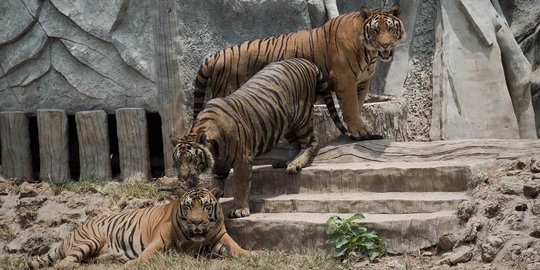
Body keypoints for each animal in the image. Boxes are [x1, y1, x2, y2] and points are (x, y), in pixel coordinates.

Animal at [28, 187, 251, 268]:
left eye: (205, 206)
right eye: (188, 206)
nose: (196, 222)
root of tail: (70, 234)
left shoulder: (220, 237)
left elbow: (237, 248)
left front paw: (254, 254)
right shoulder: (160, 239)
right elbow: (147, 254)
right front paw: (133, 264)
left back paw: (115, 257)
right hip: (90, 240)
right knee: (65, 261)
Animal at [171, 58, 352, 218]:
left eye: (192, 159)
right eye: (177, 161)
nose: (182, 178)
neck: (215, 150)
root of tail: (307, 61)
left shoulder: (243, 158)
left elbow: (240, 184)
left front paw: (240, 210)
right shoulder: (218, 167)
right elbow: (216, 184)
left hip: (301, 117)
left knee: (311, 141)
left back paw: (296, 163)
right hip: (285, 122)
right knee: (294, 143)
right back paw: (285, 161)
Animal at [192, 4, 402, 140]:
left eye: (390, 29)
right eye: (375, 30)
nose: (385, 45)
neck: (369, 53)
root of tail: (215, 55)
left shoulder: (362, 82)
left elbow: (358, 106)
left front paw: (361, 127)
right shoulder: (346, 79)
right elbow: (350, 107)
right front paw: (359, 131)